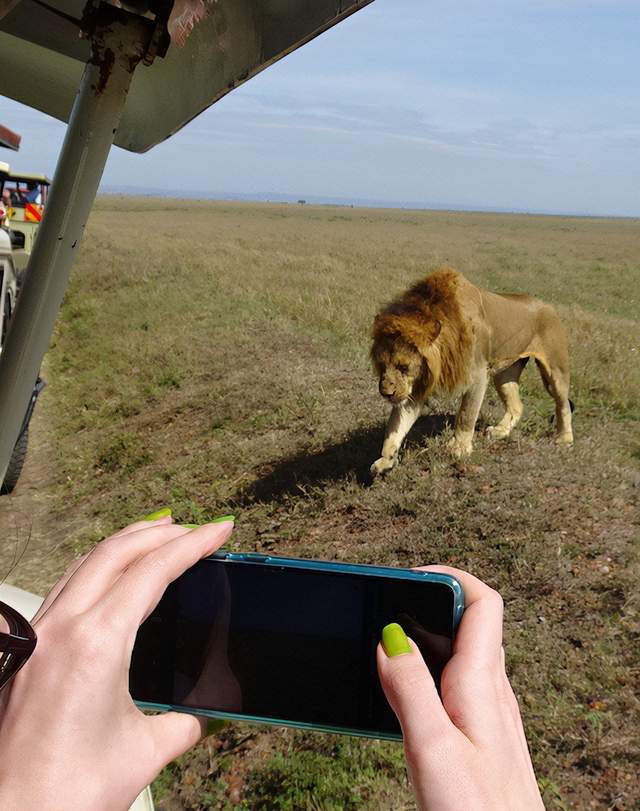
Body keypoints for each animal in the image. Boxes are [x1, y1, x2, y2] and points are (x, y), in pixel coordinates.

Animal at [370, 266, 576, 476]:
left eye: (403, 367)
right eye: (381, 365)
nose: (386, 393)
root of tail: (547, 305)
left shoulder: (477, 374)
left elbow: (466, 414)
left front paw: (458, 448)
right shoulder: (416, 386)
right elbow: (396, 424)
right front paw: (386, 459)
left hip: (555, 369)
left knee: (563, 404)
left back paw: (564, 439)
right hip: (505, 373)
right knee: (517, 405)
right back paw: (500, 431)